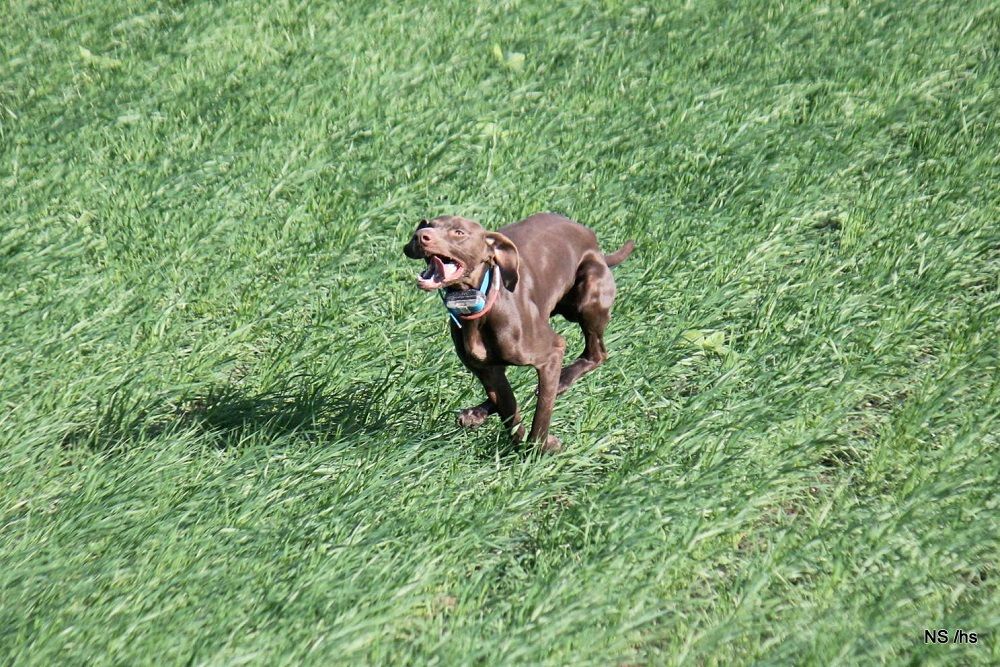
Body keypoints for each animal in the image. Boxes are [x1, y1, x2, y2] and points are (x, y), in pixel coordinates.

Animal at [404, 214, 632, 454]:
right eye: (428, 225)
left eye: (459, 232)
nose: (421, 236)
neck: (478, 305)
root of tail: (595, 245)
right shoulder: (489, 372)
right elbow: (510, 415)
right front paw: (520, 446)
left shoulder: (552, 353)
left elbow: (541, 414)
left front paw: (540, 448)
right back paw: (475, 414)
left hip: (588, 299)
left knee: (595, 354)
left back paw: (561, 381)